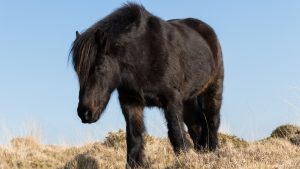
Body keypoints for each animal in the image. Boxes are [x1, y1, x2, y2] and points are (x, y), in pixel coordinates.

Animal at [71, 2, 224, 168]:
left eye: (99, 67)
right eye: (77, 72)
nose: (85, 113)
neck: (143, 53)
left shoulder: (171, 100)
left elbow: (176, 132)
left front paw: (184, 160)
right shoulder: (131, 102)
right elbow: (134, 137)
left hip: (213, 90)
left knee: (212, 121)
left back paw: (214, 153)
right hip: (188, 99)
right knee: (196, 125)